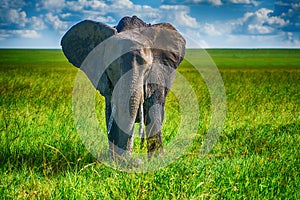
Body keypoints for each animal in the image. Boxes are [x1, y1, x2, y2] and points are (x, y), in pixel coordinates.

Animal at [61, 16, 185, 162]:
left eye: (147, 68)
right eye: (109, 68)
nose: (136, 161)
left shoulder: (157, 73)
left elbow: (154, 111)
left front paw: (156, 161)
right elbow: (111, 114)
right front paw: (114, 161)